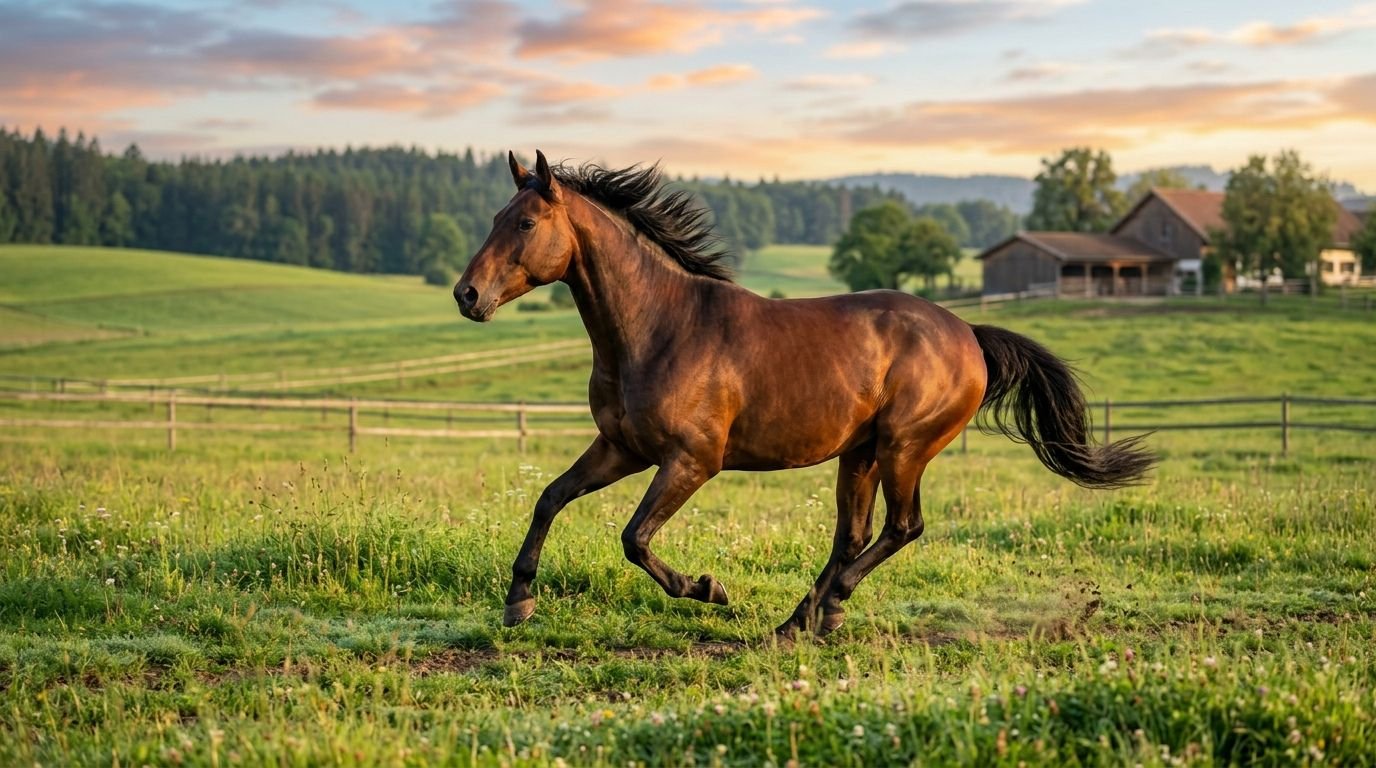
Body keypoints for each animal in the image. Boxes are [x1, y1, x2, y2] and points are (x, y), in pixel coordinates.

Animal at [454, 150, 1154, 638]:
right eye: (494, 218)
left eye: (525, 222)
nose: (466, 294)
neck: (659, 328)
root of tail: (968, 335)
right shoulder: (621, 448)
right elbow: (550, 498)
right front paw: (518, 602)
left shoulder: (692, 461)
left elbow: (634, 538)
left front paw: (709, 588)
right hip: (861, 454)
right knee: (854, 536)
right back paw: (806, 619)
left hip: (904, 448)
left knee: (901, 528)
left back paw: (817, 612)